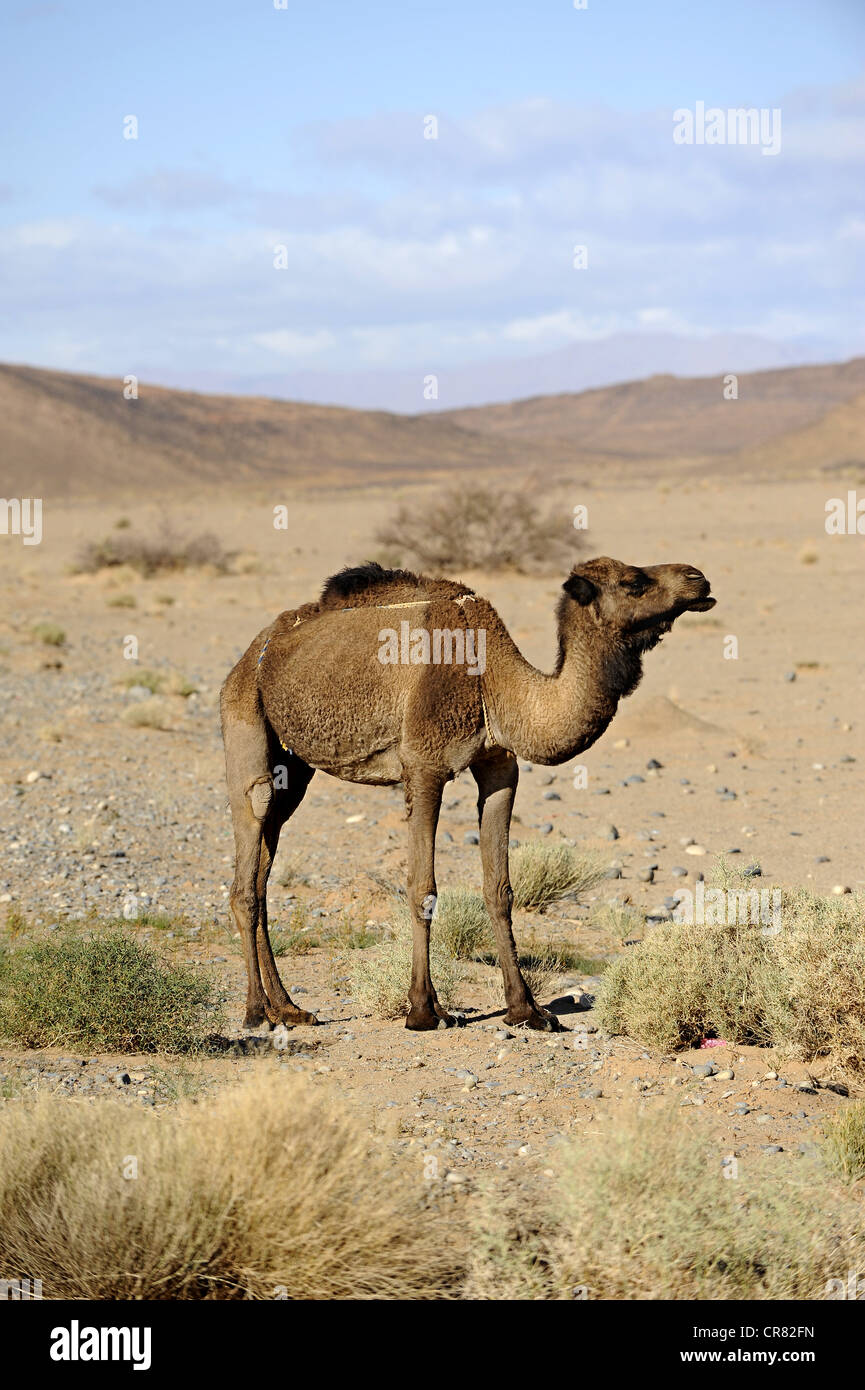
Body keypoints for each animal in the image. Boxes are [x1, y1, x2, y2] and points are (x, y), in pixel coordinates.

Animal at [219, 556, 717, 1034]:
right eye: (634, 582)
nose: (699, 579)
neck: (492, 681)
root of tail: (254, 652)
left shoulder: (500, 765)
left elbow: (500, 889)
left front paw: (527, 1010)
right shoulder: (423, 767)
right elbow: (422, 887)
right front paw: (424, 1010)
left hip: (294, 770)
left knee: (264, 867)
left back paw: (290, 1008)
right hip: (244, 719)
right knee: (249, 859)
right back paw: (257, 1012)